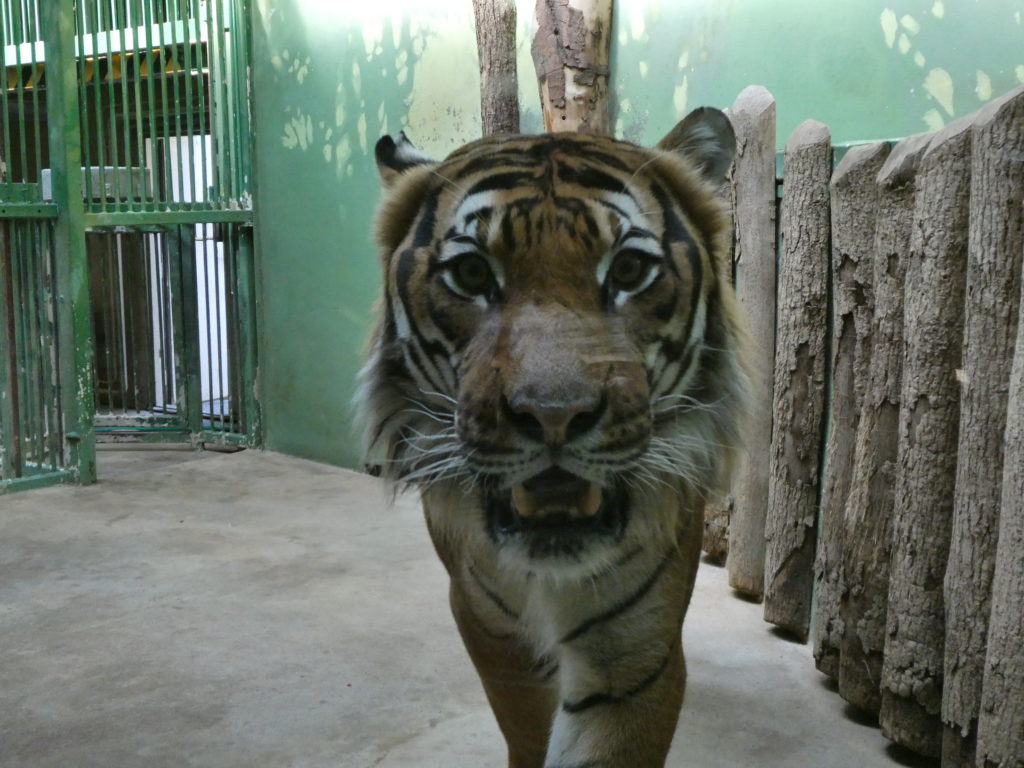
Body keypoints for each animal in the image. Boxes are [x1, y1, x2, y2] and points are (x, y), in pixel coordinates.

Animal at [356, 107, 749, 768]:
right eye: (471, 273)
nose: (554, 415)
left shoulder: (636, 652)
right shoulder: (490, 629)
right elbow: (526, 726)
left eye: (628, 270)